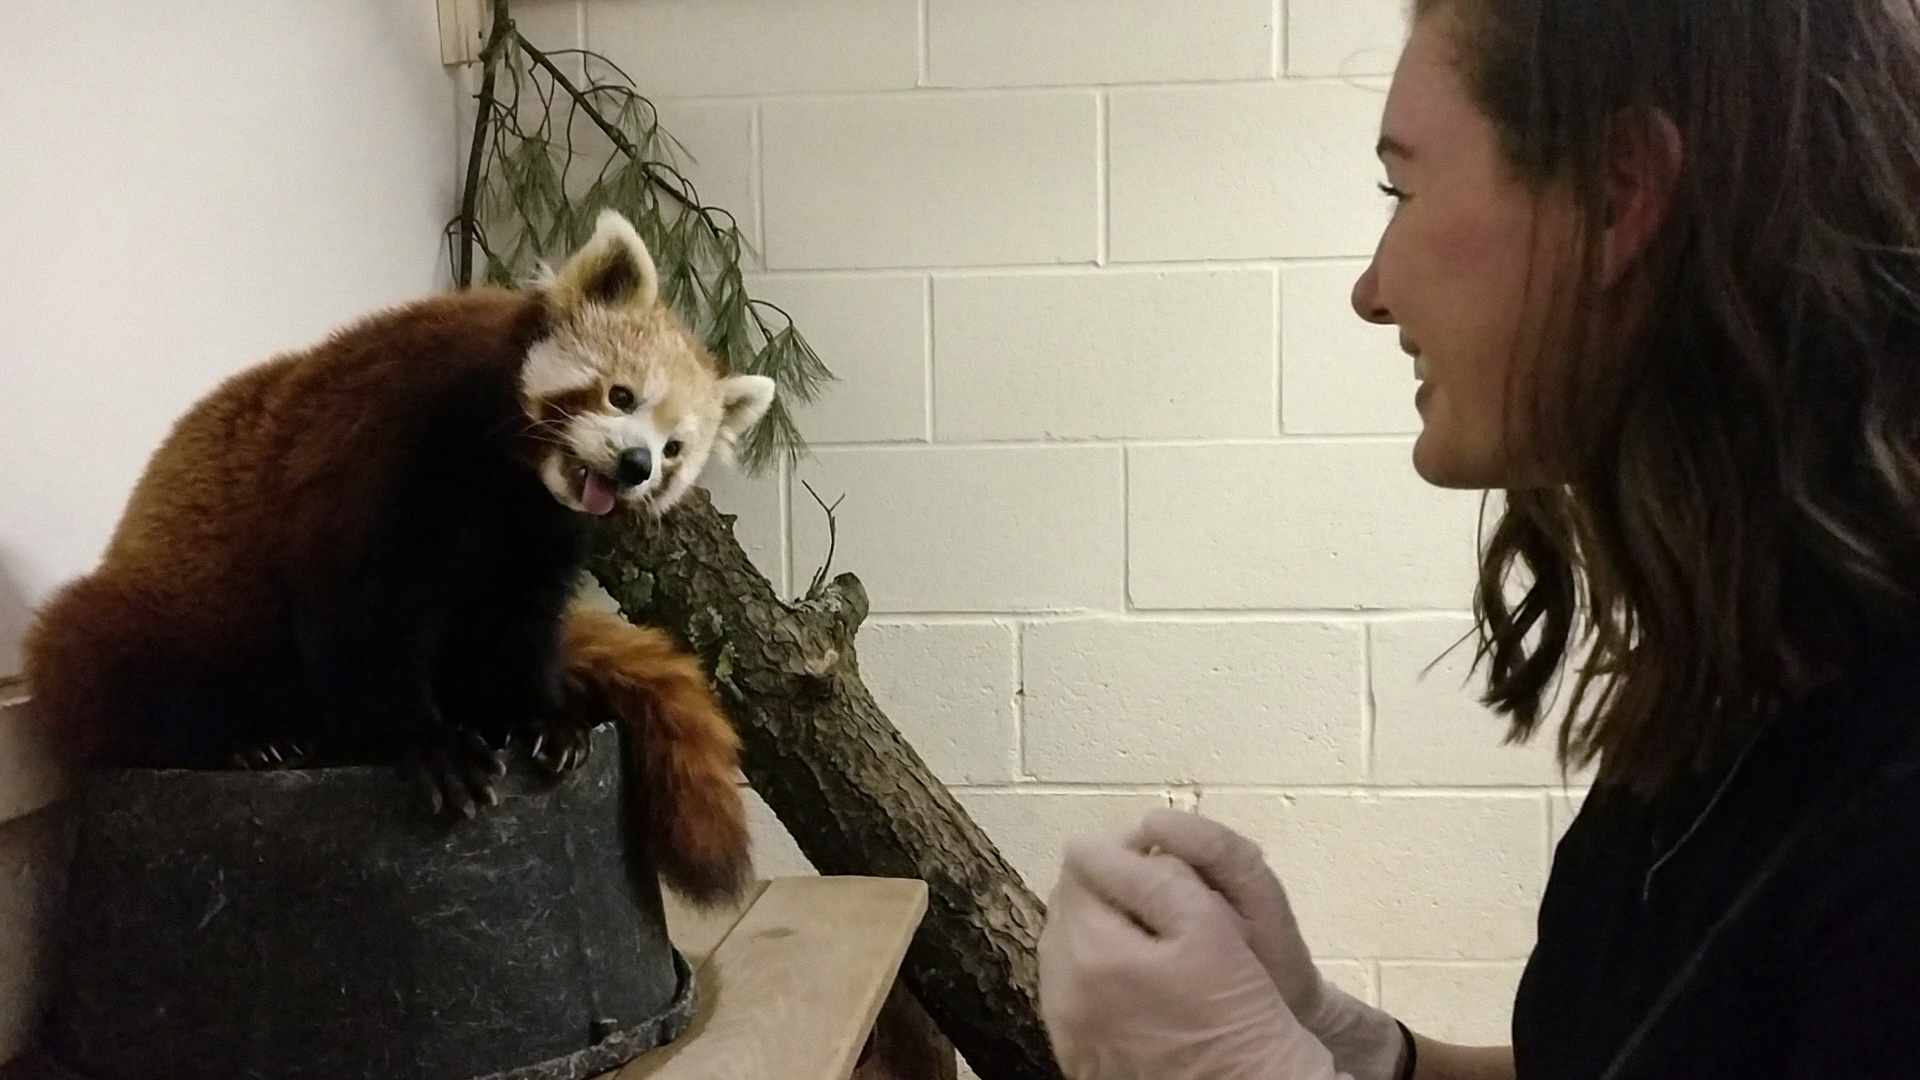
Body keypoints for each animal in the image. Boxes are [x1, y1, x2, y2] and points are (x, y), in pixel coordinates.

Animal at [20, 208, 764, 899]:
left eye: (675, 450)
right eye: (620, 395)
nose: (637, 464)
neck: (513, 479)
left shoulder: (534, 537)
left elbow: (515, 628)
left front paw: (543, 717)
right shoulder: (388, 445)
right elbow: (362, 618)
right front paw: (430, 746)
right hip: (166, 611)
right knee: (113, 667)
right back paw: (247, 739)